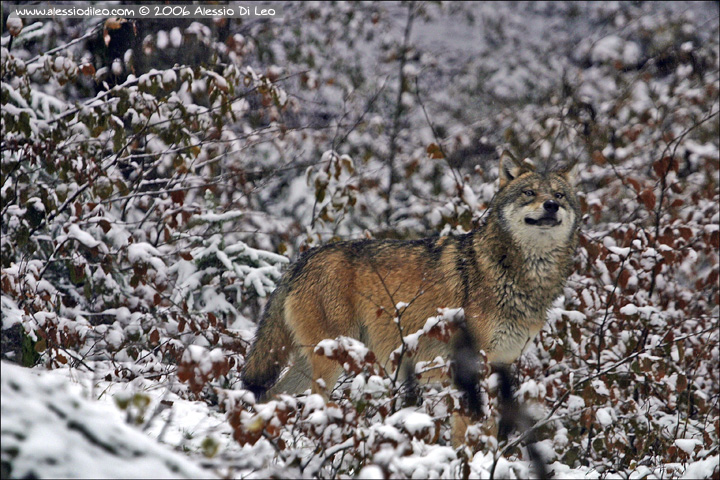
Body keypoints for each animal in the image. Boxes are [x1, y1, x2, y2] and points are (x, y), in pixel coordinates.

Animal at [242, 153, 580, 442]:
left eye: (560, 195)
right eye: (529, 193)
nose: (551, 205)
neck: (517, 273)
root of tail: (302, 259)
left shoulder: (501, 365)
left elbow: (489, 429)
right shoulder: (470, 367)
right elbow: (467, 430)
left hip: (308, 363)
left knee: (268, 398)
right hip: (331, 361)